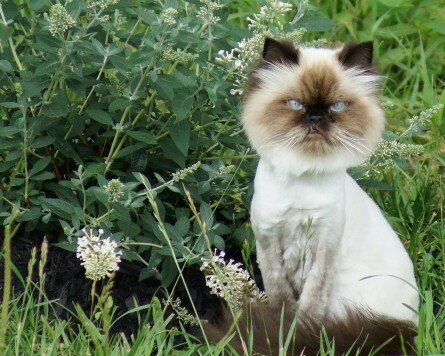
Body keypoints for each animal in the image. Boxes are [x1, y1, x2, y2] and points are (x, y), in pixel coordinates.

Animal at [203, 37, 418, 354]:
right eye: (296, 104)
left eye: (337, 106)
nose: (316, 117)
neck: (303, 174)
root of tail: (407, 329)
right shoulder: (268, 243)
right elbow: (281, 299)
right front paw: (282, 330)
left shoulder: (323, 249)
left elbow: (310, 307)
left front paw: (296, 336)